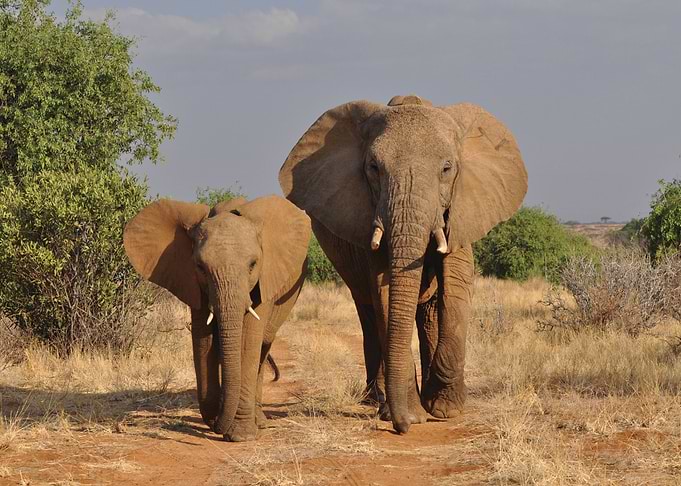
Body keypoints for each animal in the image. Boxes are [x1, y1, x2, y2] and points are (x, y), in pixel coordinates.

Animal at [123, 195, 310, 441]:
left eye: (253, 265)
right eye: (200, 267)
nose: (215, 425)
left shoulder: (264, 280)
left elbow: (248, 340)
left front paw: (240, 435)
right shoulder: (192, 281)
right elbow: (203, 340)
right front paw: (219, 421)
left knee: (262, 347)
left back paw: (259, 422)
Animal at [279, 95, 527, 434]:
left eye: (447, 168)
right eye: (373, 168)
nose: (402, 426)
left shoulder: (462, 209)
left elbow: (456, 286)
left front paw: (445, 409)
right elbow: (385, 292)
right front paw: (411, 414)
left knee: (430, 312)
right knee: (369, 311)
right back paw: (376, 399)